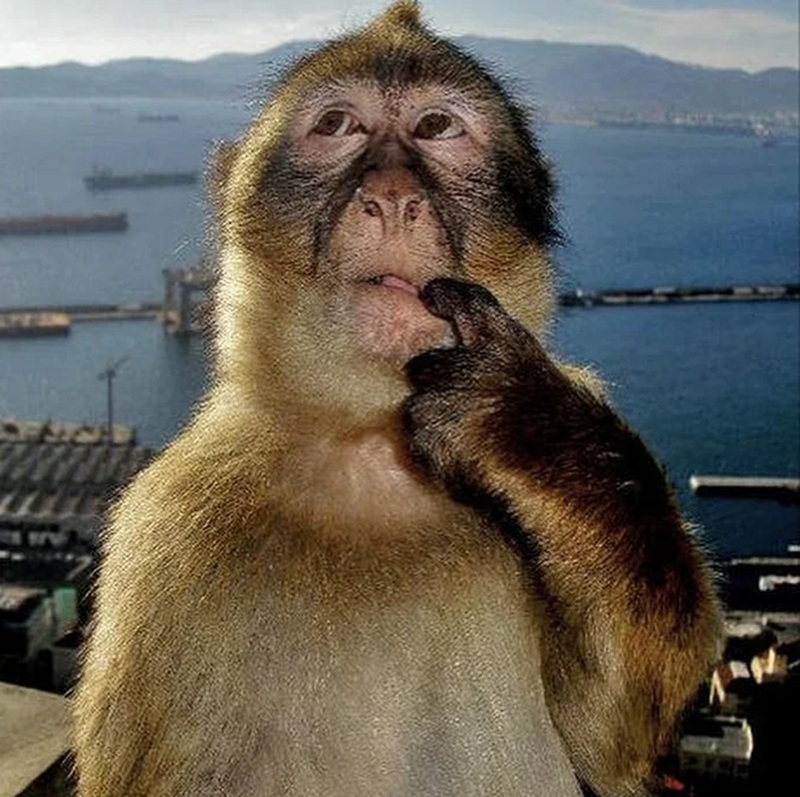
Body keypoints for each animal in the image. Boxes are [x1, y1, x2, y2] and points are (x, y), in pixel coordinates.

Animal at [72, 2, 721, 796]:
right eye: (338, 125)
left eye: (437, 128)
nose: (390, 197)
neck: (371, 446)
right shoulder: (165, 538)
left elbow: (610, 738)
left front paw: (524, 424)